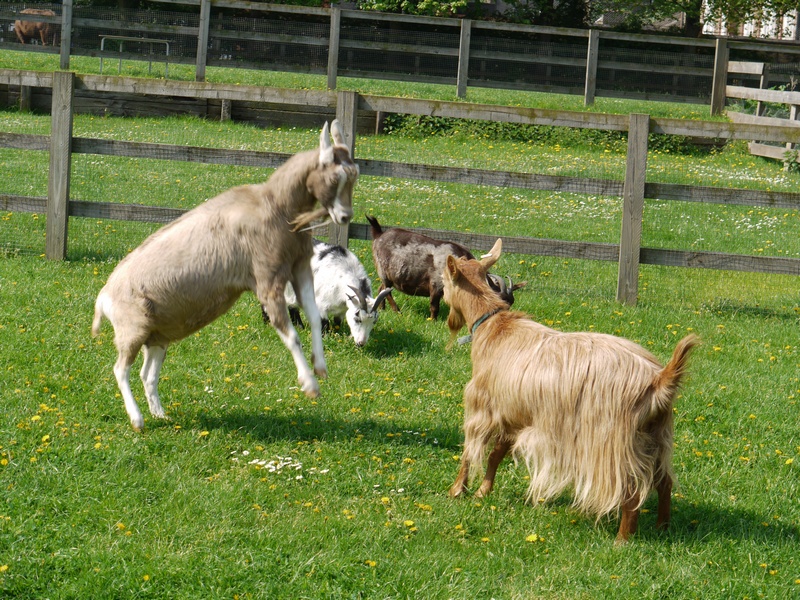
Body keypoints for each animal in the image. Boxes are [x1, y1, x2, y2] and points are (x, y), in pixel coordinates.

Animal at [92, 120, 358, 432]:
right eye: (334, 177)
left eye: (354, 174)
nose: (345, 216)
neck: (274, 206)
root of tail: (103, 298)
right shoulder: (267, 279)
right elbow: (290, 334)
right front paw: (309, 385)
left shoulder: (299, 268)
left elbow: (314, 317)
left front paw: (321, 367)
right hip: (131, 330)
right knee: (120, 369)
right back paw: (137, 419)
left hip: (157, 335)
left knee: (148, 373)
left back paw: (160, 414)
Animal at [440, 239, 696, 544]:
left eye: (443, 281)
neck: (494, 326)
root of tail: (660, 379)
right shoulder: (515, 413)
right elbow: (496, 454)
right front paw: (483, 491)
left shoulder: (483, 408)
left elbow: (470, 452)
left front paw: (457, 490)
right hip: (656, 436)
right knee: (664, 481)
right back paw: (663, 526)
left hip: (612, 442)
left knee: (631, 490)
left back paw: (622, 541)